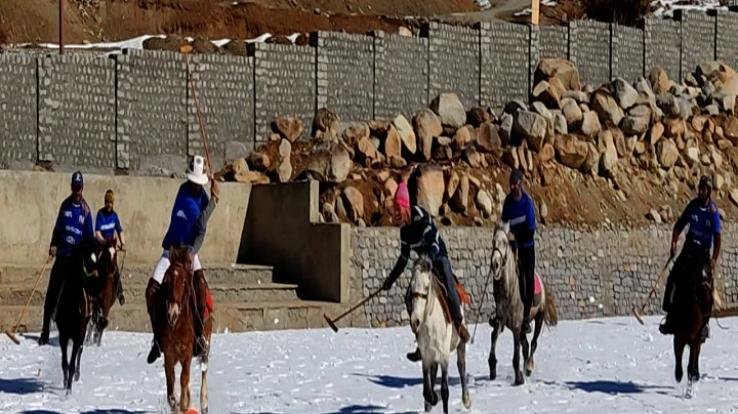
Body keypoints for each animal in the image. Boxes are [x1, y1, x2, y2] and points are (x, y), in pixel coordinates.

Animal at [55, 241, 98, 393]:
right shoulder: (63, 334)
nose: (96, 277)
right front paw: (65, 382)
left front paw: (68, 390)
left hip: (82, 330)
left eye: (96, 257)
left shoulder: (78, 333)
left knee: (80, 350)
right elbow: (64, 362)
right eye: (87, 259)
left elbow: (72, 361)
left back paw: (77, 375)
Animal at [153, 247, 213, 413]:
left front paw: (184, 403)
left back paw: (204, 403)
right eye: (166, 280)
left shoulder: (186, 352)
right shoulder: (169, 354)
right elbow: (171, 382)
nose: (172, 312)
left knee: (204, 370)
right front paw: (176, 404)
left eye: (185, 281)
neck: (178, 324)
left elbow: (184, 378)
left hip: (205, 343)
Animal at [409, 257, 471, 414]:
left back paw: (466, 399)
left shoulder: (443, 357)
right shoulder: (426, 357)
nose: (415, 321)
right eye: (411, 287)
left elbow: (444, 391)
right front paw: (432, 400)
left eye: (426, 287)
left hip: (460, 344)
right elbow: (427, 390)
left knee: (461, 367)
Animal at [487, 221, 558, 385]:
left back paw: (529, 367)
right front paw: (492, 367)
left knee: (533, 343)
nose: (495, 264)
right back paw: (526, 367)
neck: (508, 290)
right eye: (493, 242)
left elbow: (516, 352)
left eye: (504, 242)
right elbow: (494, 337)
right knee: (525, 345)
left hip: (538, 318)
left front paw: (518, 377)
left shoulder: (516, 326)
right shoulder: (500, 322)